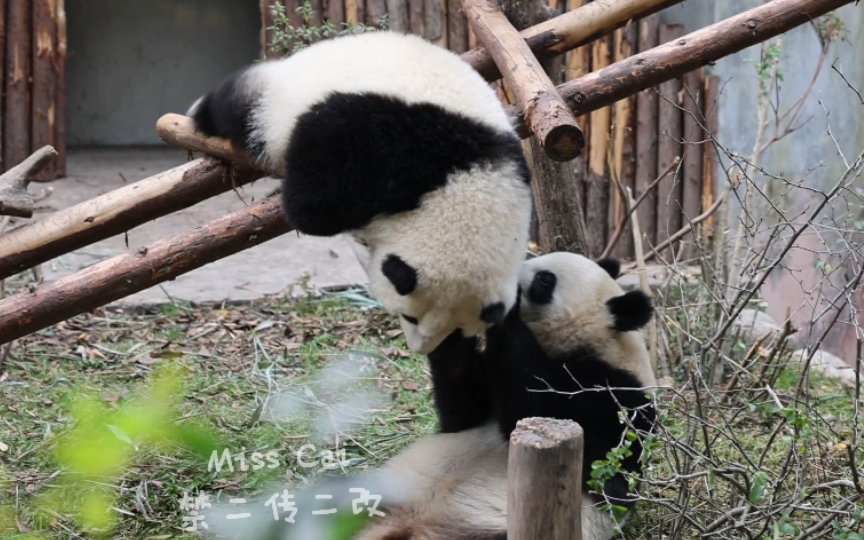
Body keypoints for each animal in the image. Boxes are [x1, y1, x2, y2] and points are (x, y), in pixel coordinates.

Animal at [186, 31, 528, 356]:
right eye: (410, 317)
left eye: (456, 330)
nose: (420, 349)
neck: (463, 178)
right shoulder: (379, 134)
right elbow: (313, 207)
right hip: (276, 100)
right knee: (237, 109)